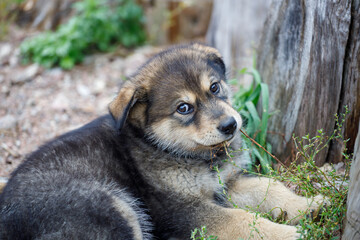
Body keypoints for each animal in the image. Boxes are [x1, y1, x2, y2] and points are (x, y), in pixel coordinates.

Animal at [0, 44, 324, 239]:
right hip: (112, 205)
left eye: (214, 87)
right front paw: (289, 233)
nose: (231, 125)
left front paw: (307, 205)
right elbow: (240, 220)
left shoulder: (227, 184)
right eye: (184, 108)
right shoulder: (182, 209)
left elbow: (269, 188)